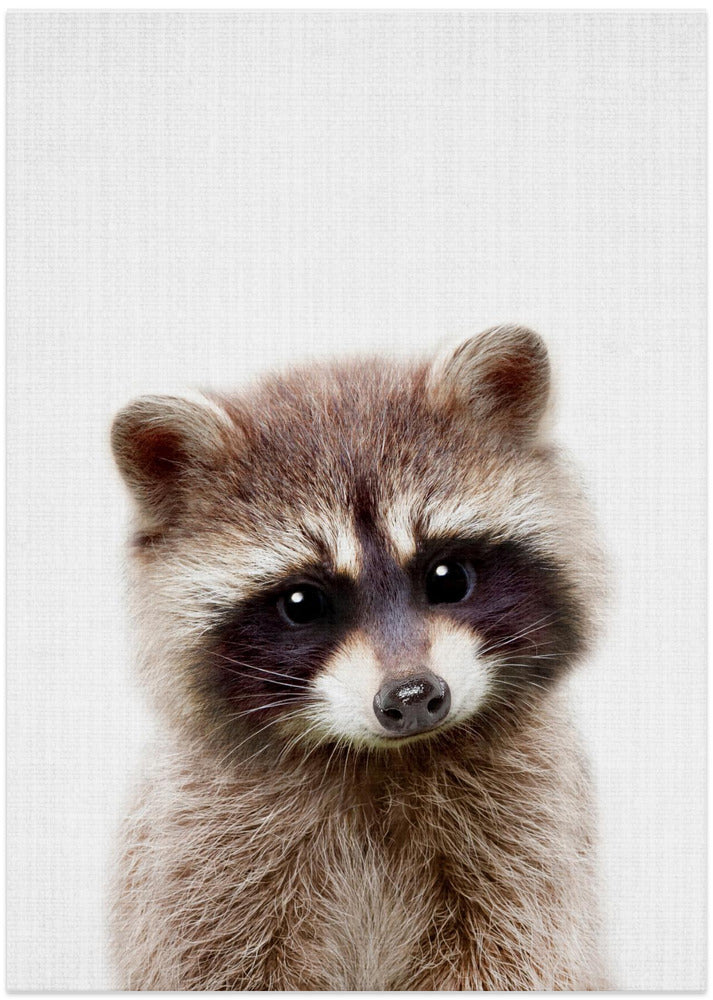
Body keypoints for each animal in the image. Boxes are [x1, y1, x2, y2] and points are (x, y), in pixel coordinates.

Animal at [109, 325, 608, 990]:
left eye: (448, 576)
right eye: (302, 603)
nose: (413, 696)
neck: (379, 760)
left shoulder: (530, 837)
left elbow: (518, 955)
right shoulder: (200, 857)